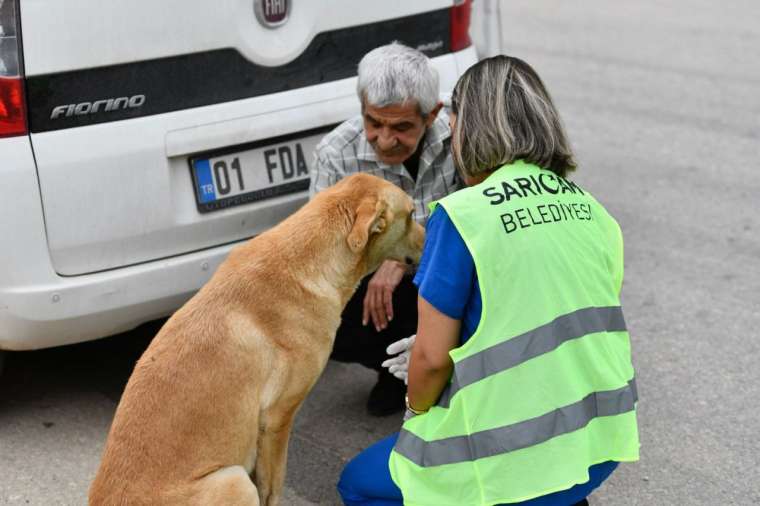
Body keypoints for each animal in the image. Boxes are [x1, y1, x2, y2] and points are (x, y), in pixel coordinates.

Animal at [89, 175, 428, 506]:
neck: (307, 259)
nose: (432, 234)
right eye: (411, 214)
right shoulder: (277, 420)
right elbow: (273, 488)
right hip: (233, 480)